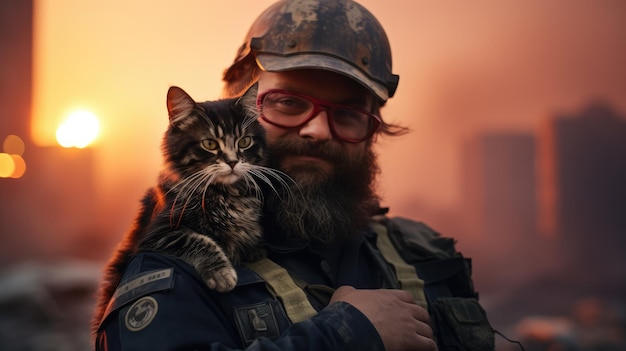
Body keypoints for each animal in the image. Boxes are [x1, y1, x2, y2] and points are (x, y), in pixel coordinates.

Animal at [91, 86, 280, 334]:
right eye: (210, 144)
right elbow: (200, 240)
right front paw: (222, 274)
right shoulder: (157, 234)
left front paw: (252, 248)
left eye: (244, 142)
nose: (232, 162)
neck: (226, 194)